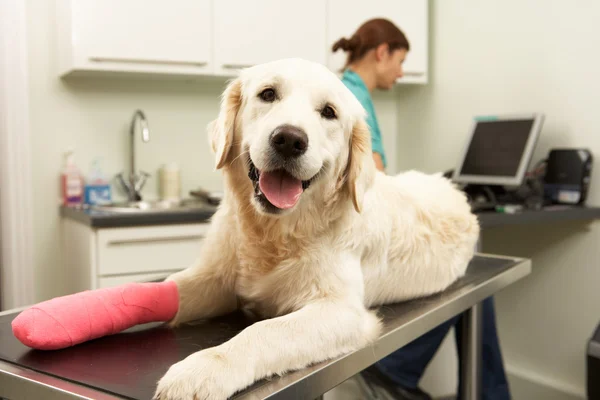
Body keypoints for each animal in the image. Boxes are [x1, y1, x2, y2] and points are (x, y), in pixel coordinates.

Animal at [154, 57, 478, 400]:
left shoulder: (342, 311)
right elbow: (173, 288)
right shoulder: (215, 279)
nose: (289, 139)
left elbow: (264, 331)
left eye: (329, 112)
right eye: (268, 94)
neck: (274, 232)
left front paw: (201, 370)